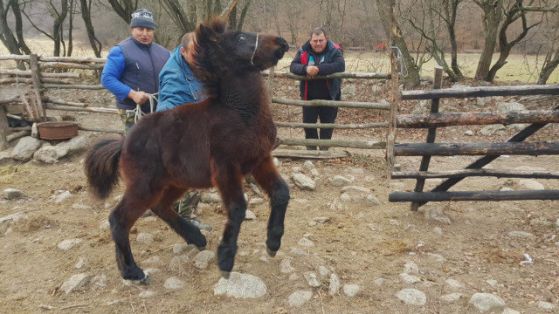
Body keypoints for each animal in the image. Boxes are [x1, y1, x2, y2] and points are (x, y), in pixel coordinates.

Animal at [86, 18, 294, 280]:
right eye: (240, 37)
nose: (282, 42)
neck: (240, 114)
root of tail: (123, 143)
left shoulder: (260, 160)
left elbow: (281, 193)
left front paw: (273, 243)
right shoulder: (225, 168)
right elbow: (237, 208)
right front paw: (226, 259)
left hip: (175, 182)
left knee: (159, 206)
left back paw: (194, 238)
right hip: (144, 186)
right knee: (118, 220)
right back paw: (133, 271)